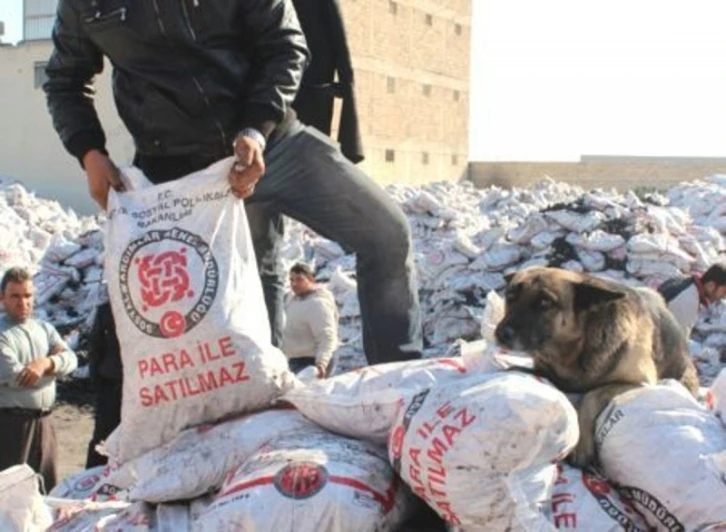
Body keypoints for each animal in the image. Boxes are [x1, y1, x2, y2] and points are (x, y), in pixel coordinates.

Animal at [494, 266, 699, 467]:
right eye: (510, 295)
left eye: (545, 303)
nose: (501, 334)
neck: (576, 348)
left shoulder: (641, 384)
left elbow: (590, 396)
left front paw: (581, 444)